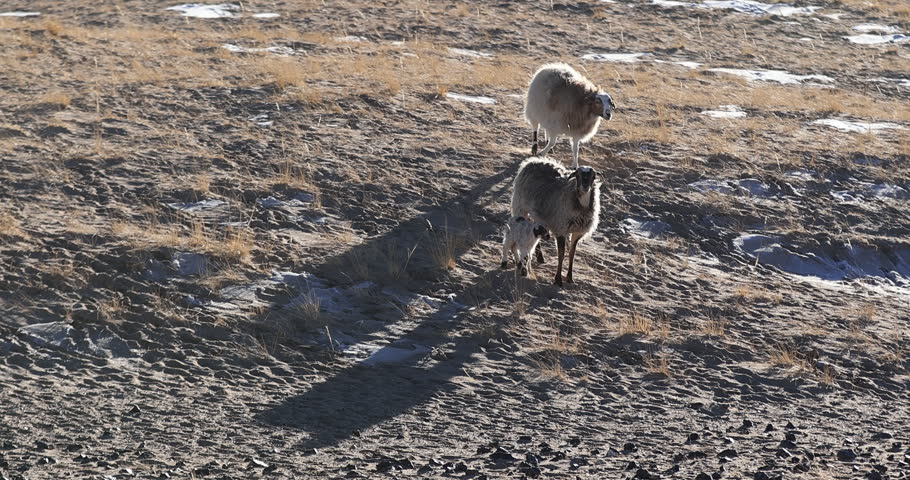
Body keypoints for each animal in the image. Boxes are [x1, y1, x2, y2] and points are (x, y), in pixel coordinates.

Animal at [511, 157, 601, 286]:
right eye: (577, 175)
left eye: (593, 176)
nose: (585, 186)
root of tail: (532, 160)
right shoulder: (561, 229)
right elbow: (561, 255)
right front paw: (558, 279)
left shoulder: (577, 233)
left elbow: (572, 254)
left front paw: (570, 278)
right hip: (520, 207)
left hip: (538, 213)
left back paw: (540, 257)